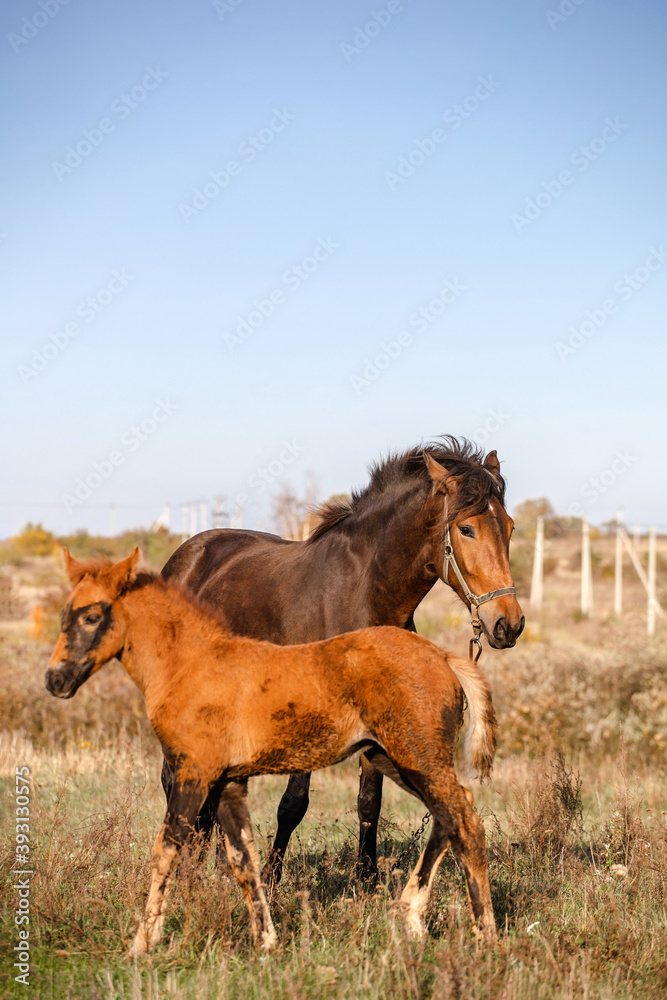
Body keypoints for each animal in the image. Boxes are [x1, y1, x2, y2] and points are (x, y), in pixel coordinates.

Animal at [160, 438, 524, 882]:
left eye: (509, 527)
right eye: (466, 529)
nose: (509, 623)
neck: (360, 594)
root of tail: (188, 555)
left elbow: (370, 800)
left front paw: (366, 879)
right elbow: (293, 802)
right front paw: (273, 879)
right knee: (176, 778)